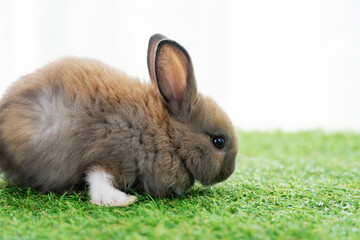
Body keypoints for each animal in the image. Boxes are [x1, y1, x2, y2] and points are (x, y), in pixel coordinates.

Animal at [0, 33, 238, 206]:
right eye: (219, 142)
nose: (229, 172)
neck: (169, 134)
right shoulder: (115, 153)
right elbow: (99, 179)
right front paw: (122, 200)